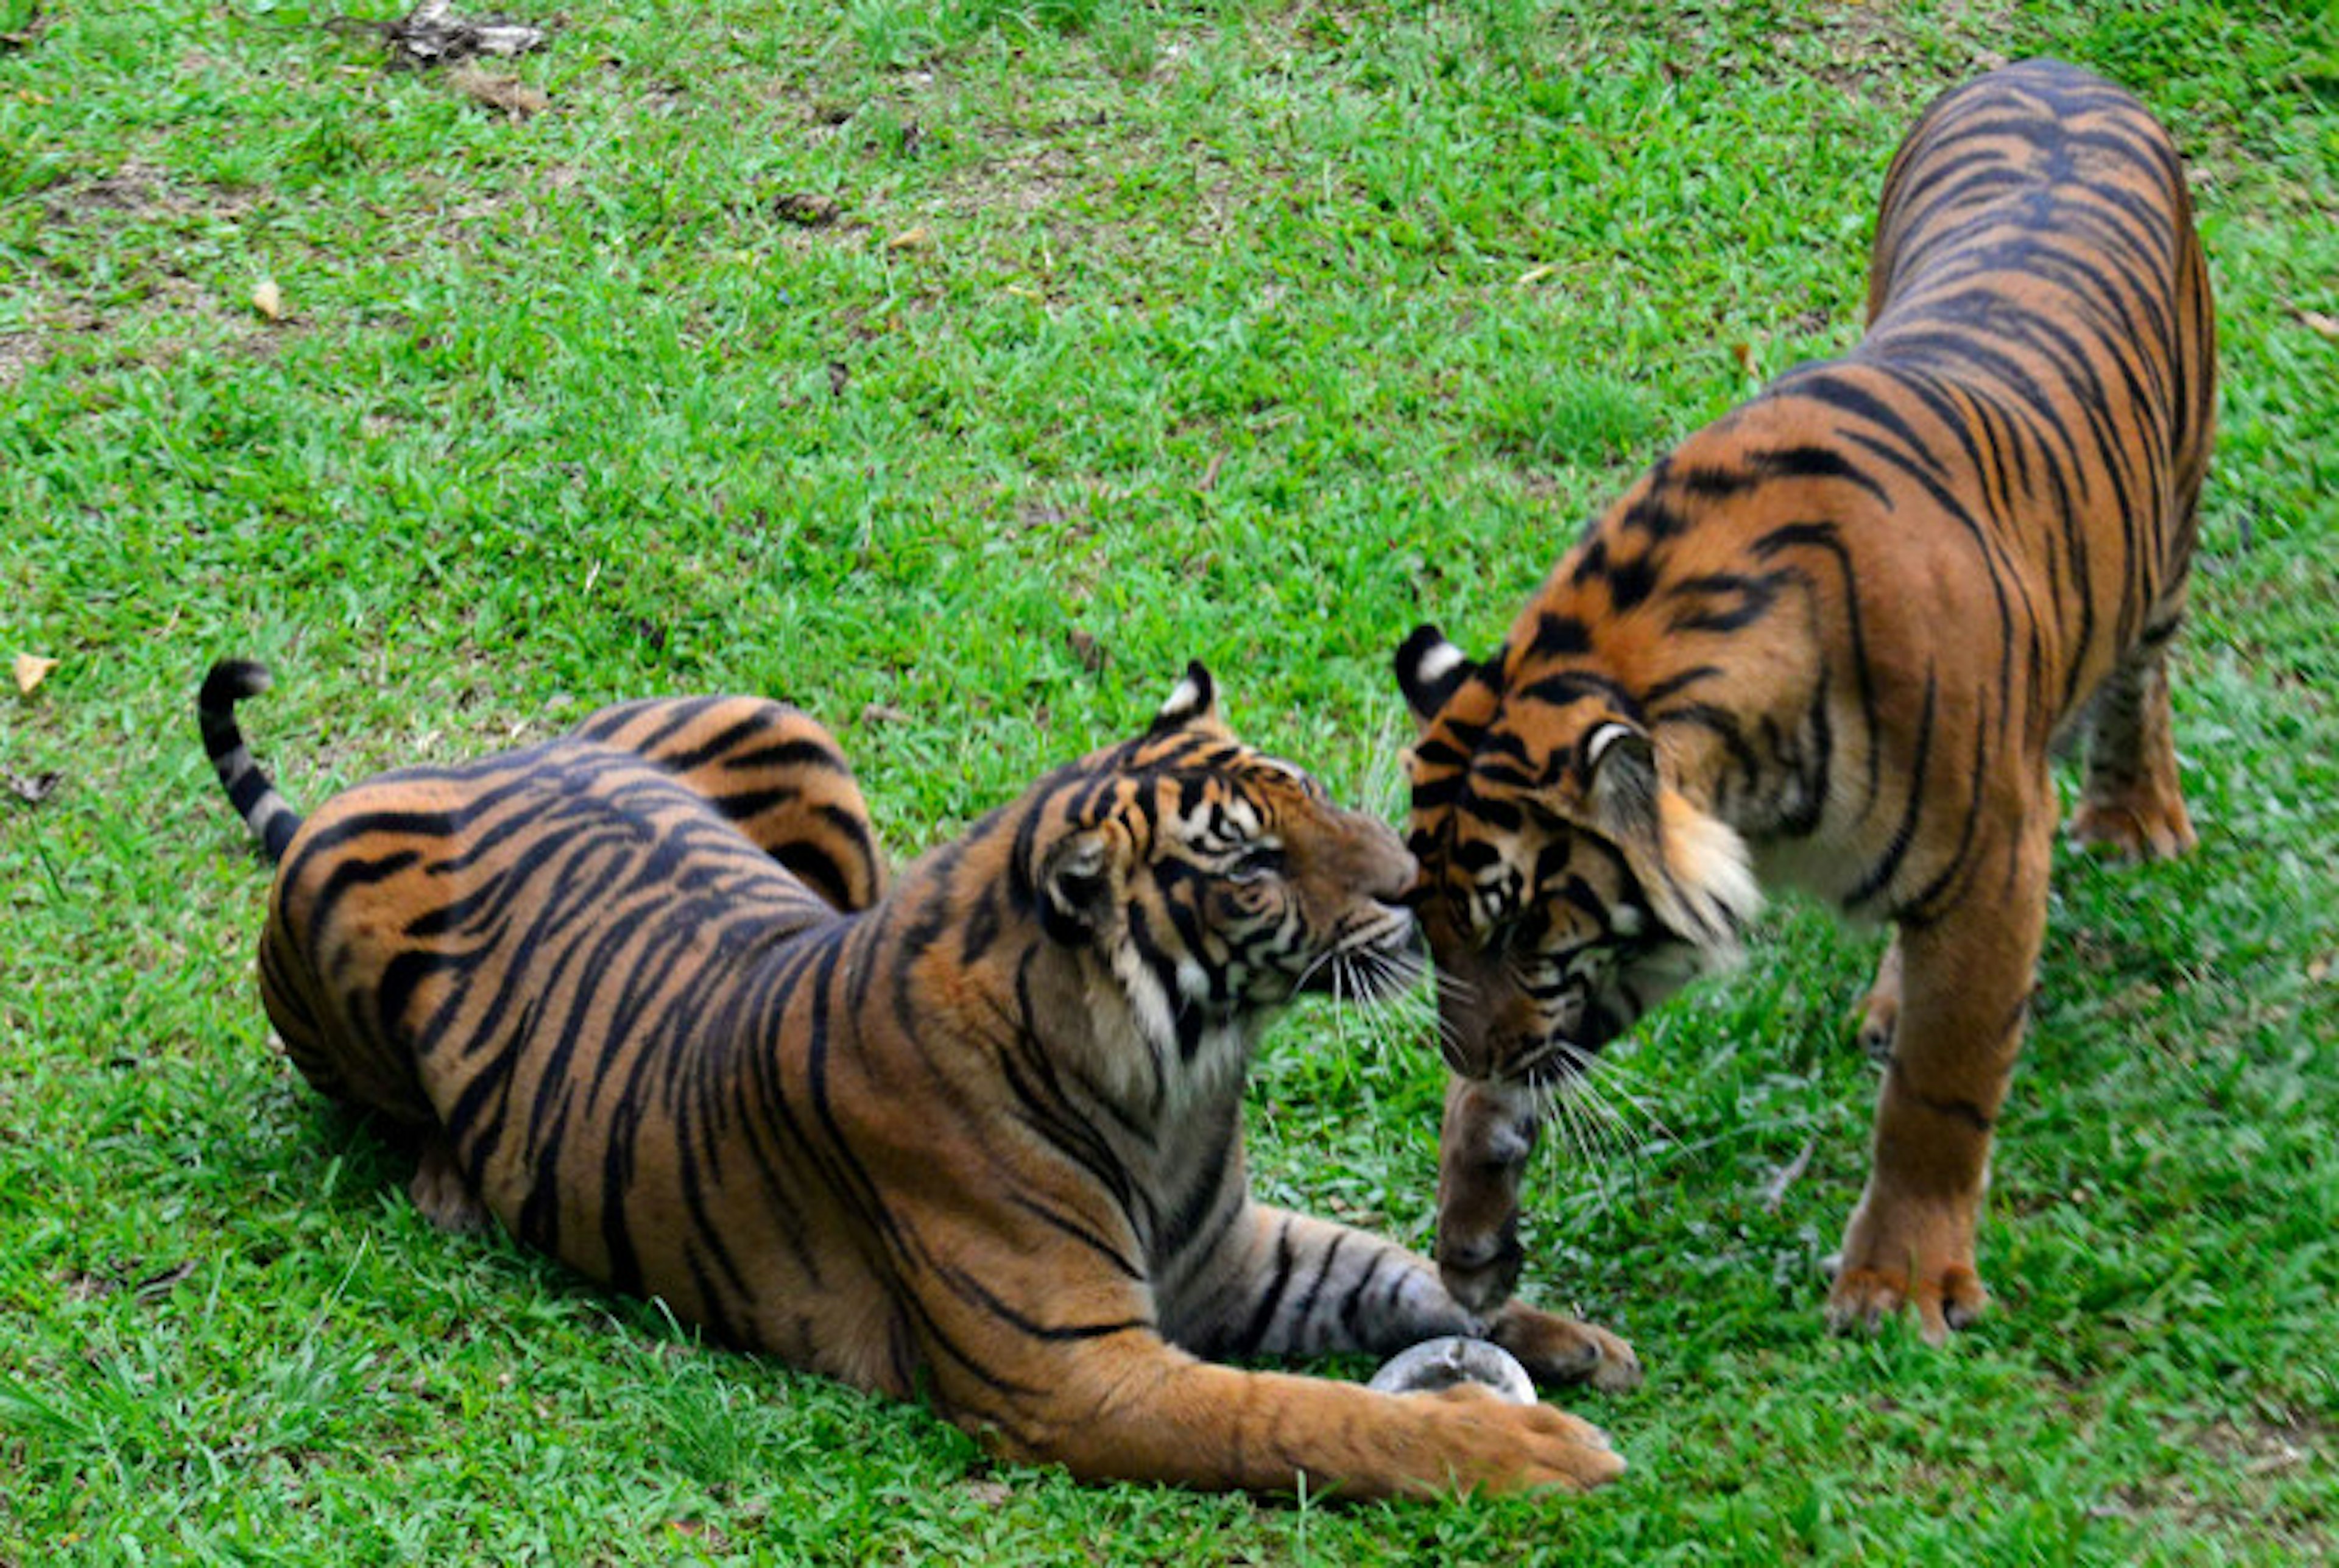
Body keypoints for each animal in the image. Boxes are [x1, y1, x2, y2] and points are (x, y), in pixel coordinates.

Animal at [201, 660, 1637, 1497]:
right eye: (1248, 864)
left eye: (1310, 792)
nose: (1411, 894)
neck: (1181, 1082)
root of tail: (477, 758)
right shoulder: (1079, 1375)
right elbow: (1301, 1420)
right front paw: (1523, 1447)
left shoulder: (1232, 1256)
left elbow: (1395, 1276)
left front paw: (1559, 1334)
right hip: (324, 918)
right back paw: (451, 1183)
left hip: (787, 731)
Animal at [1385, 55, 2207, 1347]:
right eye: (1432, 923)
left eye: (1518, 927)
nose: (1460, 1043)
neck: (1750, 778)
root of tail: (2056, 67)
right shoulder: (1658, 911)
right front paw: (1472, 1228)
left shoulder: (1995, 853)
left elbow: (1941, 1086)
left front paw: (1901, 1284)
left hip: (2166, 531)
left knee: (2142, 671)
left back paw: (2135, 819)